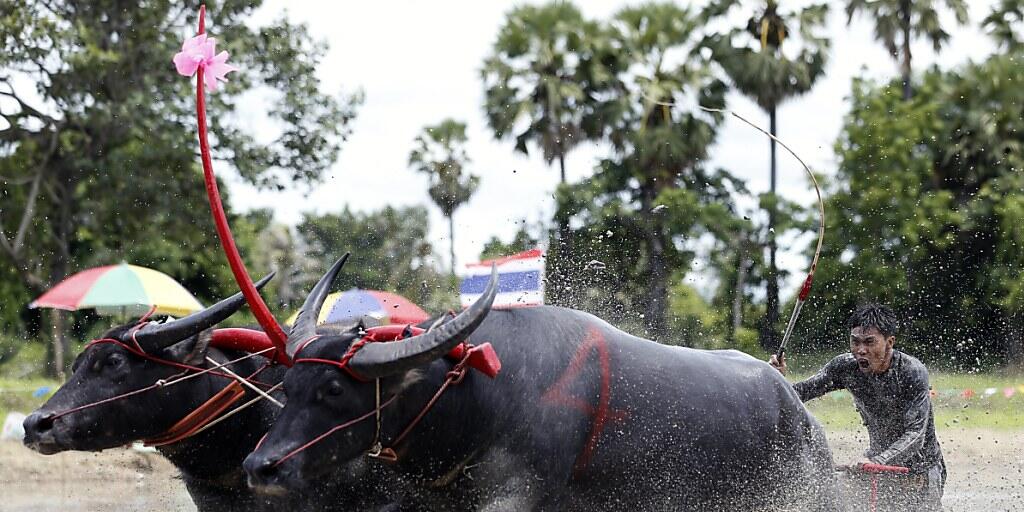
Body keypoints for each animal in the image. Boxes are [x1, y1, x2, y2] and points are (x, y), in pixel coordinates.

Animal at [243, 262, 835, 509]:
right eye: (288, 386)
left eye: (334, 391)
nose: (259, 466)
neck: (482, 393)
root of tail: (798, 410)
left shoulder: (521, 494)